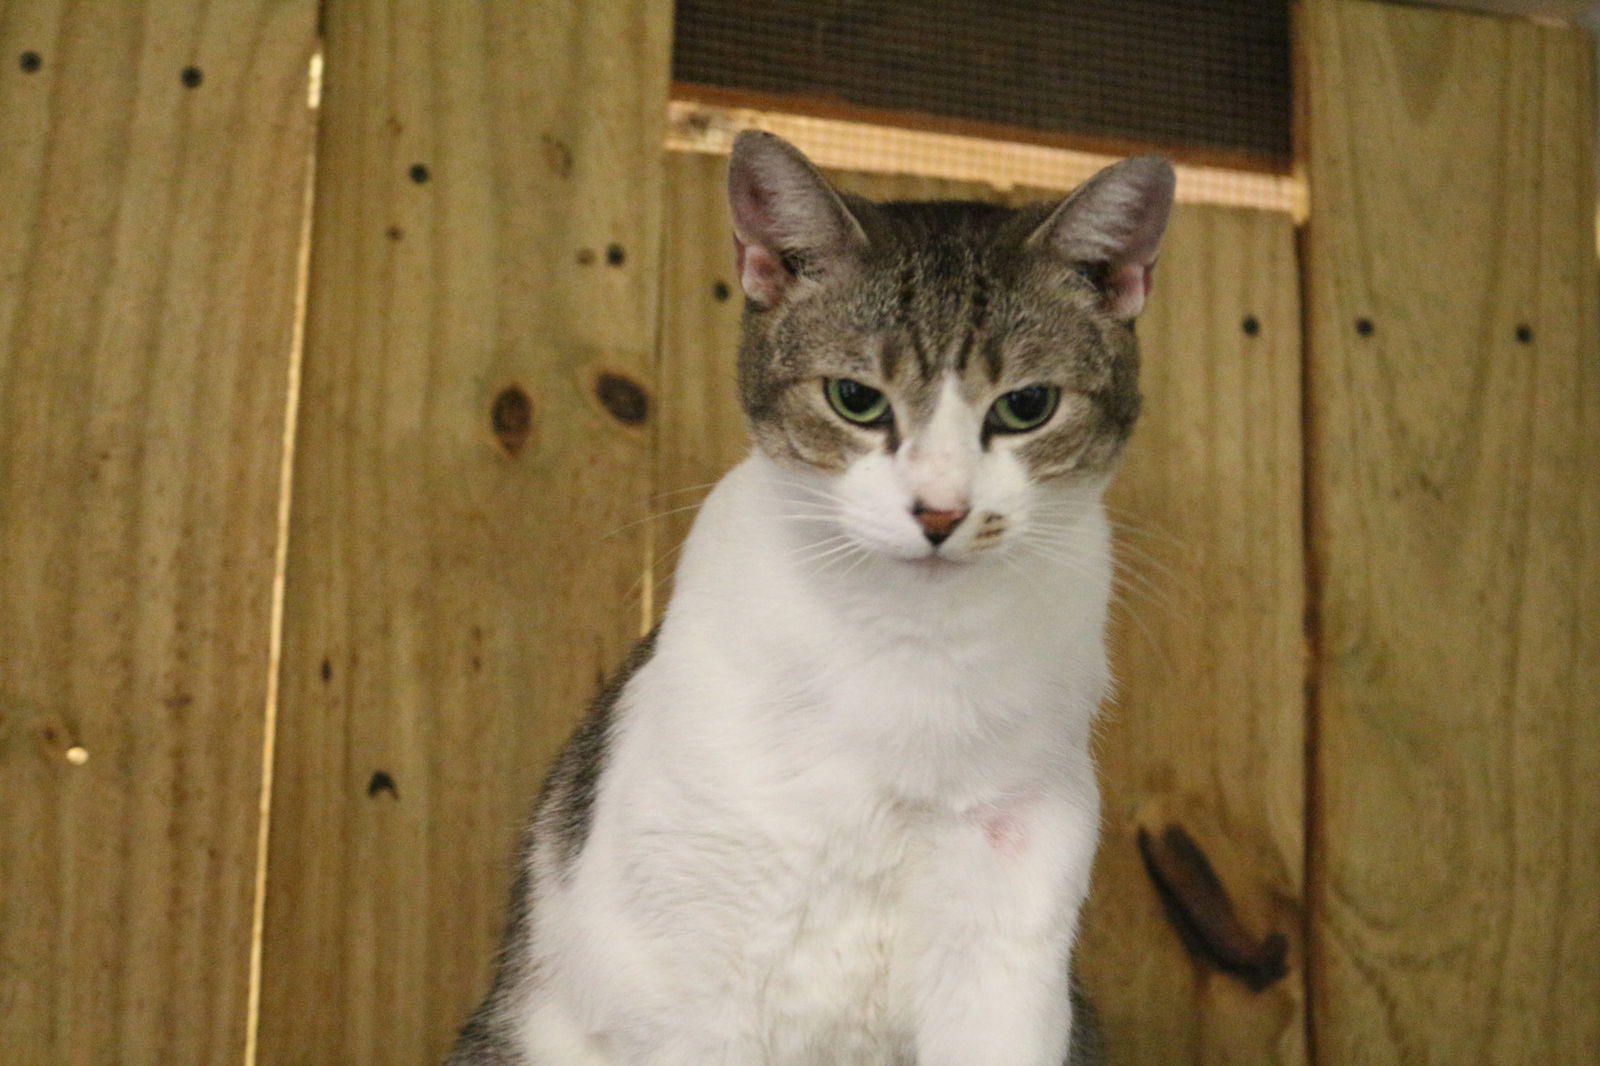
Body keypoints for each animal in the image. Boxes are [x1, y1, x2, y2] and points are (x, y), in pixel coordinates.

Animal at [451, 128, 1177, 1056]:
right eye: (855, 398)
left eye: (1028, 406)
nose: (940, 510)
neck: (911, 652)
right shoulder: (699, 980)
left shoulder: (1009, 941)